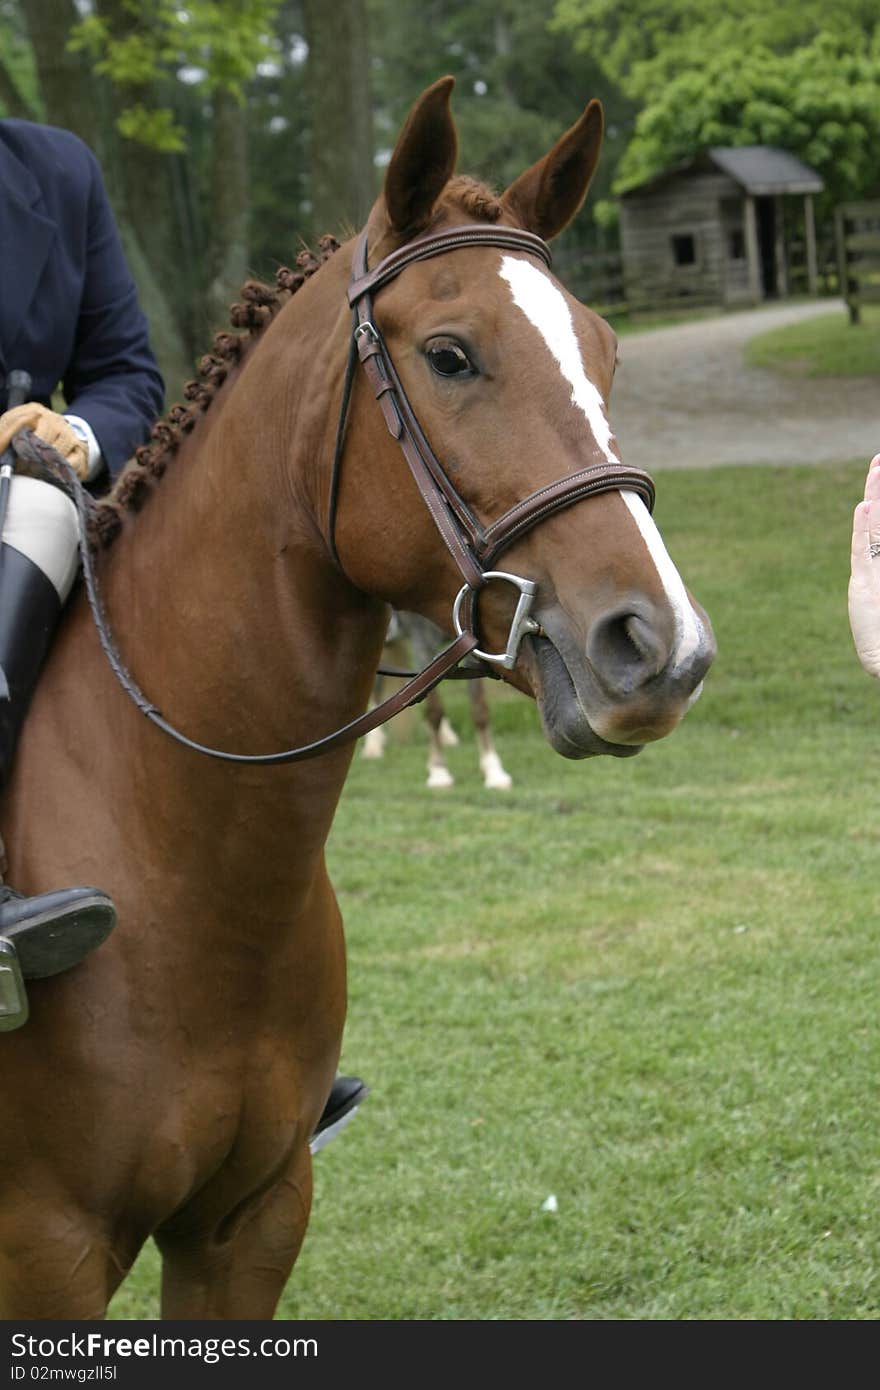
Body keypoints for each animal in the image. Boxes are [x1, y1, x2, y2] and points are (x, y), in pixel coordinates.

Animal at [0, 81, 711, 1317]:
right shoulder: (45, 1252)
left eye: (606, 352)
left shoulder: (249, 1222)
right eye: (450, 354)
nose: (657, 647)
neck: (183, 864)